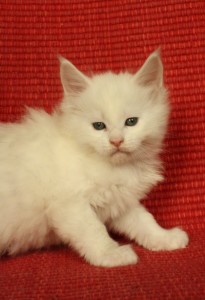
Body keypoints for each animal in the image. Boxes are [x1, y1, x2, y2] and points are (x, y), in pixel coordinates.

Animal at [0, 51, 189, 268]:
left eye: (131, 122)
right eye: (98, 126)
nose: (116, 141)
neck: (112, 167)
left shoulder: (120, 200)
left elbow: (144, 221)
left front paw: (165, 238)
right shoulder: (71, 205)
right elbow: (94, 232)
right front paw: (112, 255)